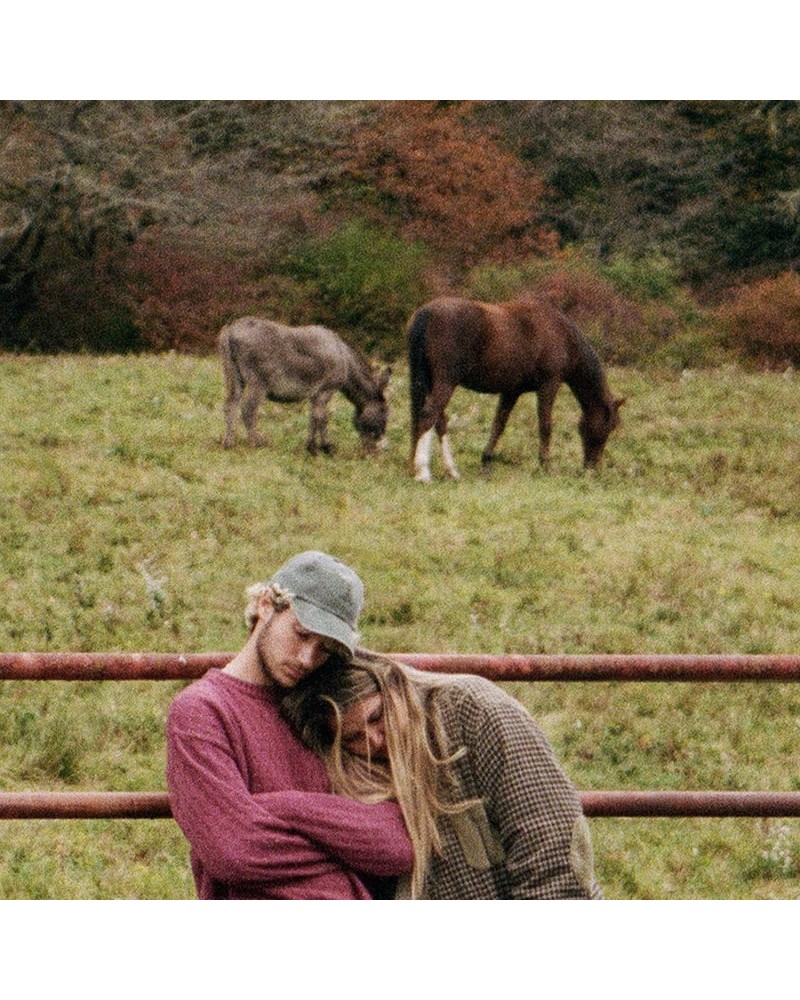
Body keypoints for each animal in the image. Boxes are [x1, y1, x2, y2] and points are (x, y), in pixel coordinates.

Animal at [219, 318, 390, 456]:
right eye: (385, 412)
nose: (373, 451)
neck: (345, 362)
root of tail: (230, 330)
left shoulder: (316, 394)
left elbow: (313, 417)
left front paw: (312, 447)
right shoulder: (326, 390)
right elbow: (321, 417)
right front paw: (327, 448)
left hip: (234, 377)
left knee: (230, 406)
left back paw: (228, 443)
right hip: (258, 382)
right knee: (248, 409)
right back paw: (256, 443)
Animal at [406, 294, 624, 482]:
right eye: (608, 427)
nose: (593, 466)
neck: (560, 334)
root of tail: (427, 313)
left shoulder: (511, 392)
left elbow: (498, 425)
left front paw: (486, 462)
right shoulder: (549, 385)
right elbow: (545, 425)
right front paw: (546, 466)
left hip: (431, 383)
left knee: (437, 421)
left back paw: (449, 471)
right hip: (445, 383)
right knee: (428, 416)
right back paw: (423, 473)